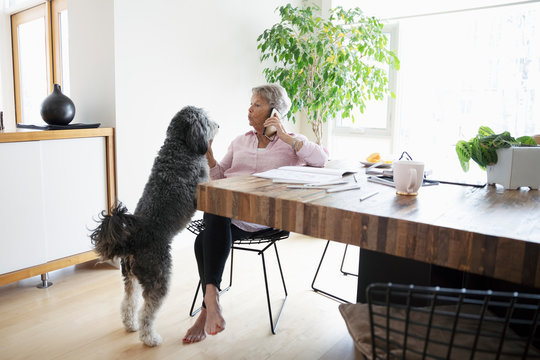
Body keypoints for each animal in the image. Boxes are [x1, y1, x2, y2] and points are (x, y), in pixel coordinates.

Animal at [91, 106, 219, 346]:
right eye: (207, 120)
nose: (218, 125)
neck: (179, 146)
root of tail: (132, 242)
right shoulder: (202, 186)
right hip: (159, 277)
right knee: (147, 312)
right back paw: (150, 338)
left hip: (130, 277)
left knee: (128, 303)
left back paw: (130, 325)